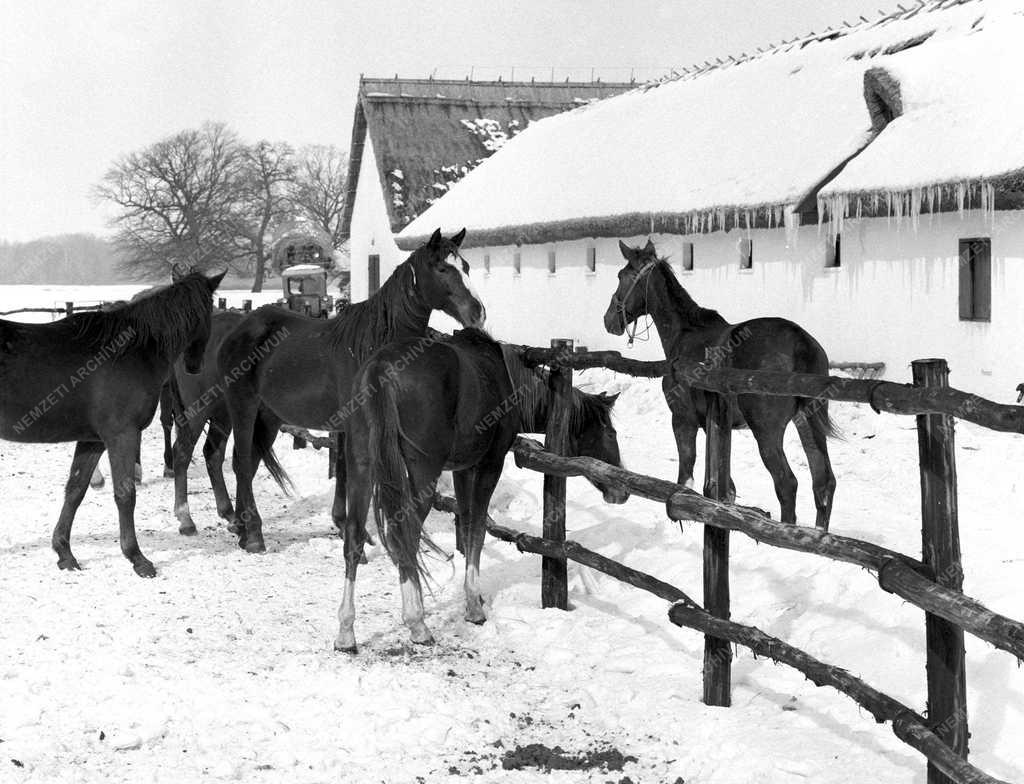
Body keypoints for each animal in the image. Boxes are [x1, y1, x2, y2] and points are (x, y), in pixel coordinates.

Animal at [0, 272, 225, 577]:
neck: (134, 350)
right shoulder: (122, 435)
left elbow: (75, 490)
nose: (194, 366)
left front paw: (65, 553)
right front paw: (137, 557)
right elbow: (125, 494)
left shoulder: (93, 440)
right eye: (208, 313)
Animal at [220, 230, 483, 556]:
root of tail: (239, 328)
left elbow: (345, 470)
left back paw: (242, 530)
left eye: (467, 267)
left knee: (249, 462)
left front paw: (346, 525)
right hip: (243, 408)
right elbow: (352, 472)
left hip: (268, 417)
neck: (372, 345)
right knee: (242, 462)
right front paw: (349, 528)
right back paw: (254, 535)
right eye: (443, 269)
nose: (478, 313)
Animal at [335, 327, 626, 655]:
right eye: (610, 433)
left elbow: (465, 522)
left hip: (361, 466)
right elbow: (477, 528)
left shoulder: (462, 469)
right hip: (422, 475)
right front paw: (474, 606)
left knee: (355, 537)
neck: (506, 379)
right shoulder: (489, 464)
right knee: (405, 536)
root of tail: (380, 368)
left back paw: (346, 632)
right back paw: (417, 623)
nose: (621, 491)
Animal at [602, 239, 835, 532]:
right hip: (808, 421)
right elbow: (725, 488)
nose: (609, 319)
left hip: (767, 432)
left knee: (787, 484)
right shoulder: (715, 426)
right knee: (823, 482)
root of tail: (799, 340)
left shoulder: (683, 419)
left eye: (622, 275)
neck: (685, 336)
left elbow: (686, 471)